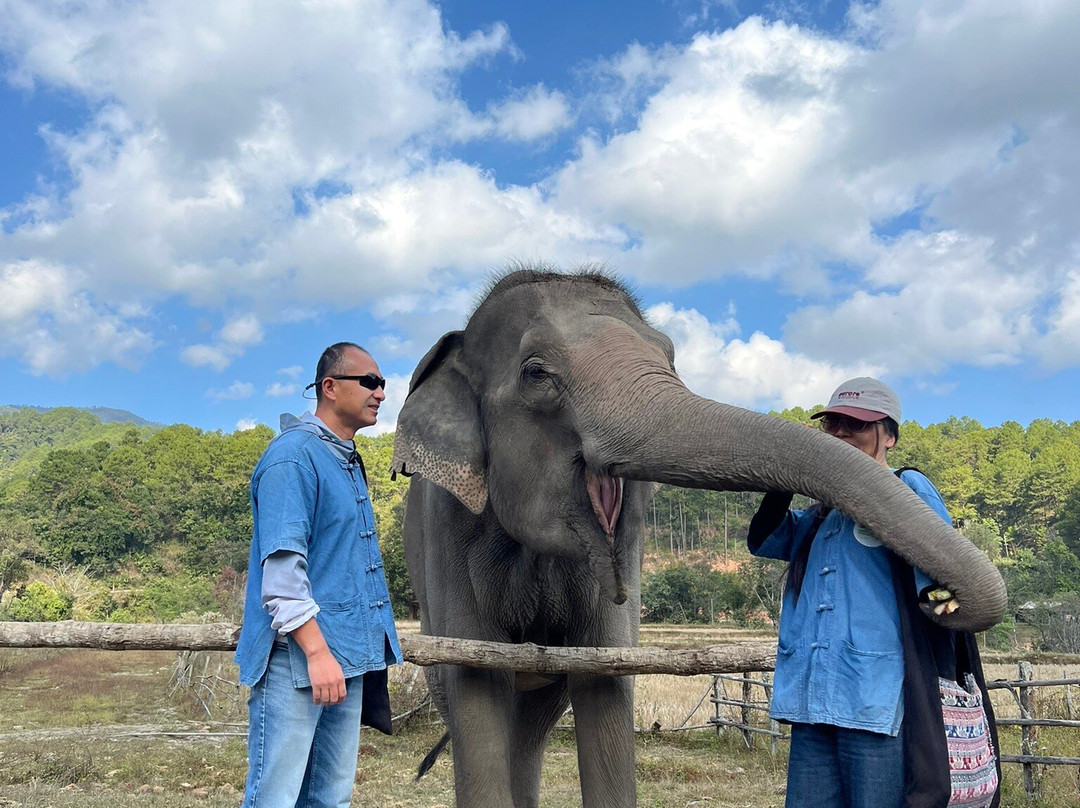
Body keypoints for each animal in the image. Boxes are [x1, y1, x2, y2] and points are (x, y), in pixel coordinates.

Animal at [390, 266, 1006, 808]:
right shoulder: (445, 528)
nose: (939, 599)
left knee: (538, 717)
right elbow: (475, 687)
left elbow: (604, 679)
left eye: (669, 357)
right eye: (536, 372)